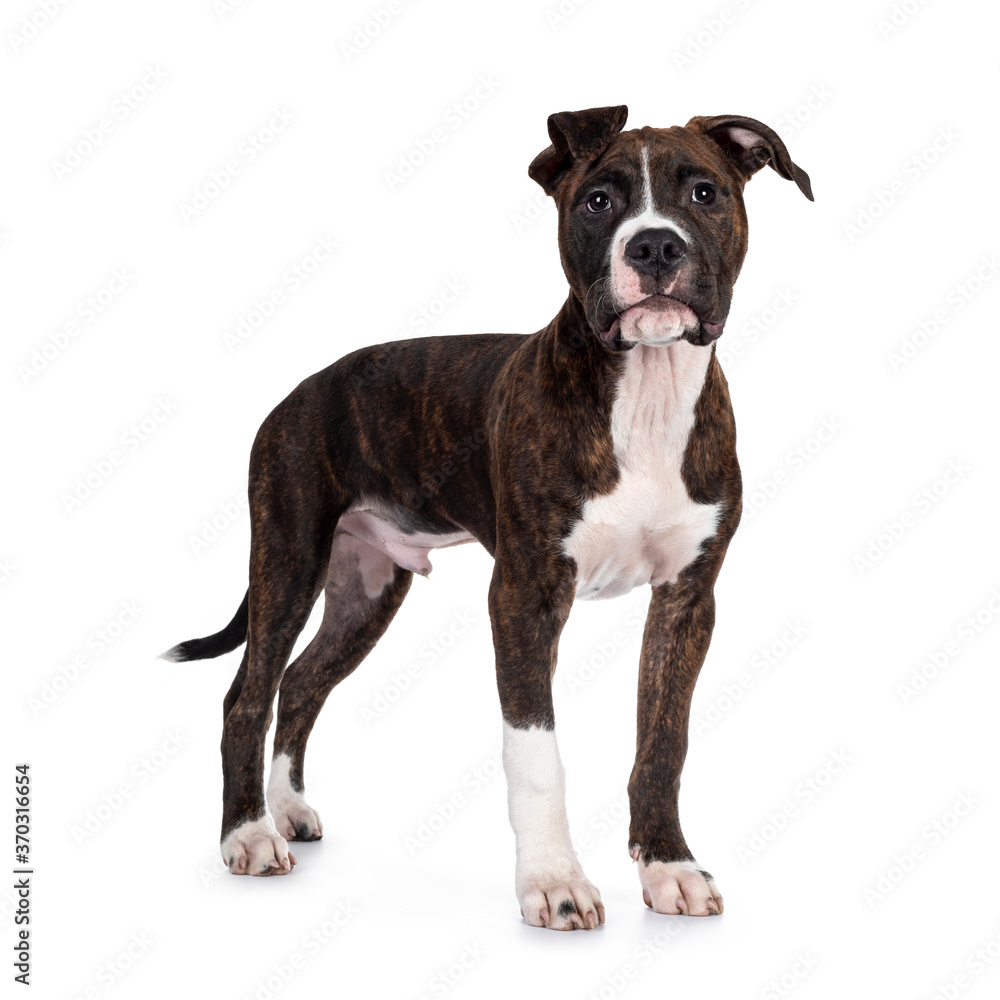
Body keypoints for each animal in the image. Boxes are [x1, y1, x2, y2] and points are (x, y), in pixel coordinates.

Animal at [166, 107, 812, 928]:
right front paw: (555, 882)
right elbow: (536, 753)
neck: (645, 391)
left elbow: (665, 740)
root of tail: (297, 391)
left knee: (304, 681)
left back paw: (289, 810)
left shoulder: (687, 600)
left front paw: (669, 867)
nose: (655, 245)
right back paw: (247, 835)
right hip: (288, 555)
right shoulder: (525, 596)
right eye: (598, 201)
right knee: (247, 694)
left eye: (704, 192)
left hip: (365, 587)